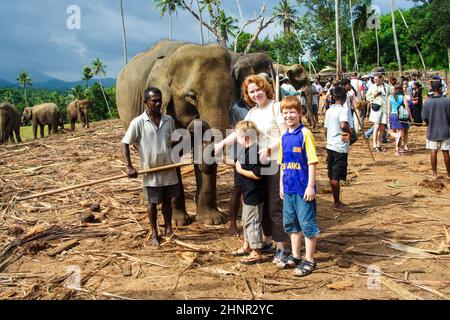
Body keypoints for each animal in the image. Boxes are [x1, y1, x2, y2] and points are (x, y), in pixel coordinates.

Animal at [116, 39, 232, 225]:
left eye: (230, 93)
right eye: (191, 96)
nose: (197, 122)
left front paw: (211, 221)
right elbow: (171, 156)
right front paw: (179, 221)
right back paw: (147, 198)